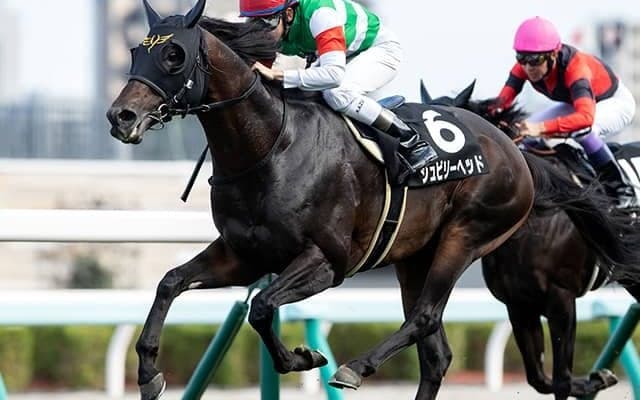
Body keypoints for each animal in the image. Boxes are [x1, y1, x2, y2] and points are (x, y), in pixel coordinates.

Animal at [420, 80, 640, 400]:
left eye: (445, 134)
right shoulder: (519, 305)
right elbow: (539, 378)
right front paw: (598, 378)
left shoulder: (561, 299)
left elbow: (560, 379)